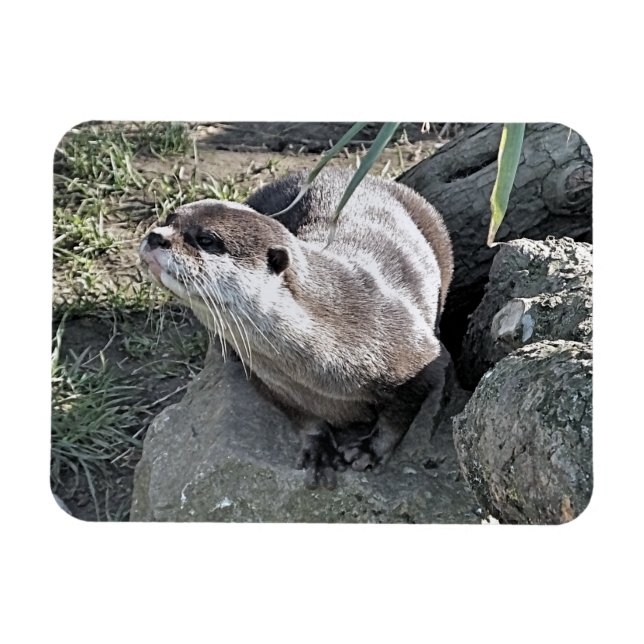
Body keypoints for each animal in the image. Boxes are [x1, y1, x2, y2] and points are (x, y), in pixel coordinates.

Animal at [139, 169, 453, 487]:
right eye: (169, 218)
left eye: (206, 239)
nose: (156, 236)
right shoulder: (268, 380)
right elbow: (301, 415)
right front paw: (318, 448)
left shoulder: (418, 355)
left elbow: (401, 412)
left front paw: (369, 450)